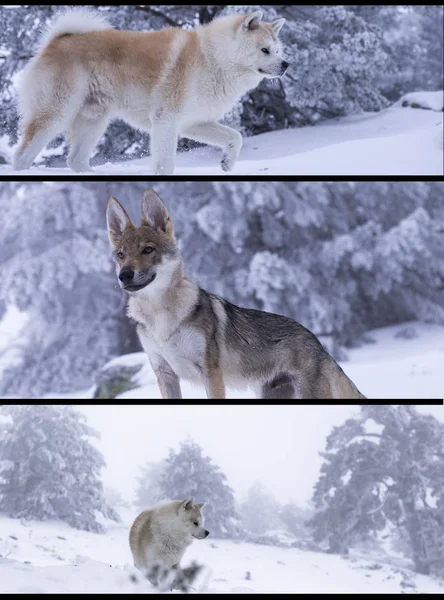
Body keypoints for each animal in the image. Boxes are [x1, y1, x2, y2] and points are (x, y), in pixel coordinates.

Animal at [13, 8, 288, 173]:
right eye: (265, 50)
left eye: (278, 50)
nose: (286, 64)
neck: (213, 59)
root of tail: (56, 41)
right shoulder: (166, 120)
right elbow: (165, 163)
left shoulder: (194, 122)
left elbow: (235, 137)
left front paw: (227, 163)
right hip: (57, 112)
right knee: (23, 155)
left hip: (94, 121)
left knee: (75, 160)